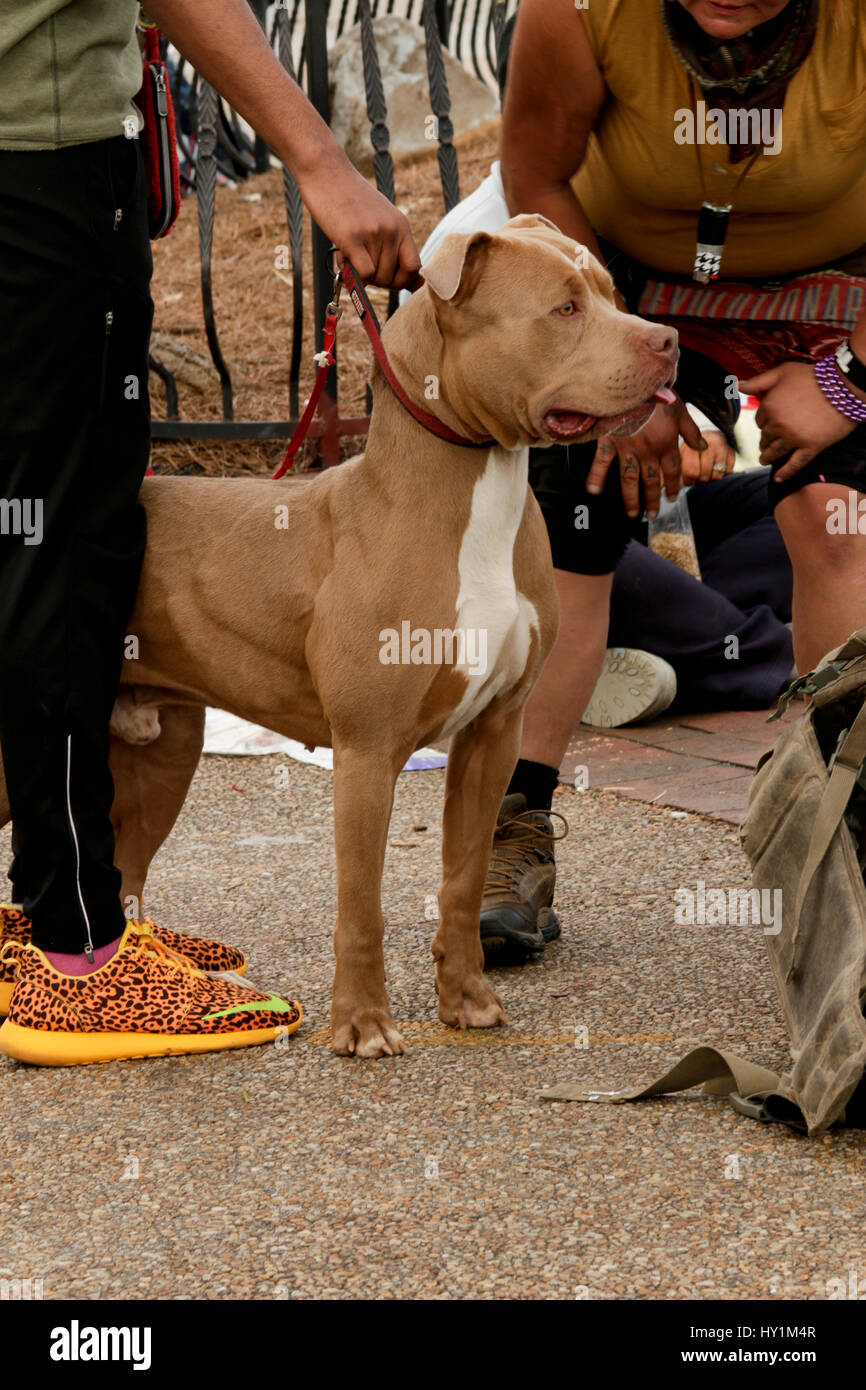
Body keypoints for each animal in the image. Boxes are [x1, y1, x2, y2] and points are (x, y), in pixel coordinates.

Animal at [0, 214, 678, 1050]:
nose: (668, 339)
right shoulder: (367, 748)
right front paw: (361, 1025)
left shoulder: (493, 733)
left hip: (162, 754)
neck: (468, 496)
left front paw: (466, 1001)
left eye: (613, 293)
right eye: (565, 308)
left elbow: (459, 881)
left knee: (124, 875)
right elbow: (361, 902)